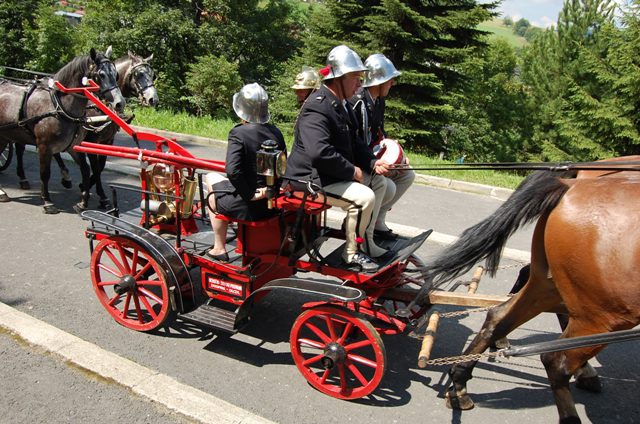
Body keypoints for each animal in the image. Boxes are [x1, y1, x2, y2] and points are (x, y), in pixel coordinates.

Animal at [0, 47, 125, 212]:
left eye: (116, 74)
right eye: (101, 75)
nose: (120, 103)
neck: (59, 106)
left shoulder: (75, 146)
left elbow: (86, 170)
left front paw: (83, 201)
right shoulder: (44, 146)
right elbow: (45, 173)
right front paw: (47, 201)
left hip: (7, 136)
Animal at [408, 170, 640, 424]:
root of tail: (568, 186)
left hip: (553, 289)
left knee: (498, 318)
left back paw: (460, 385)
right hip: (603, 315)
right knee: (555, 361)